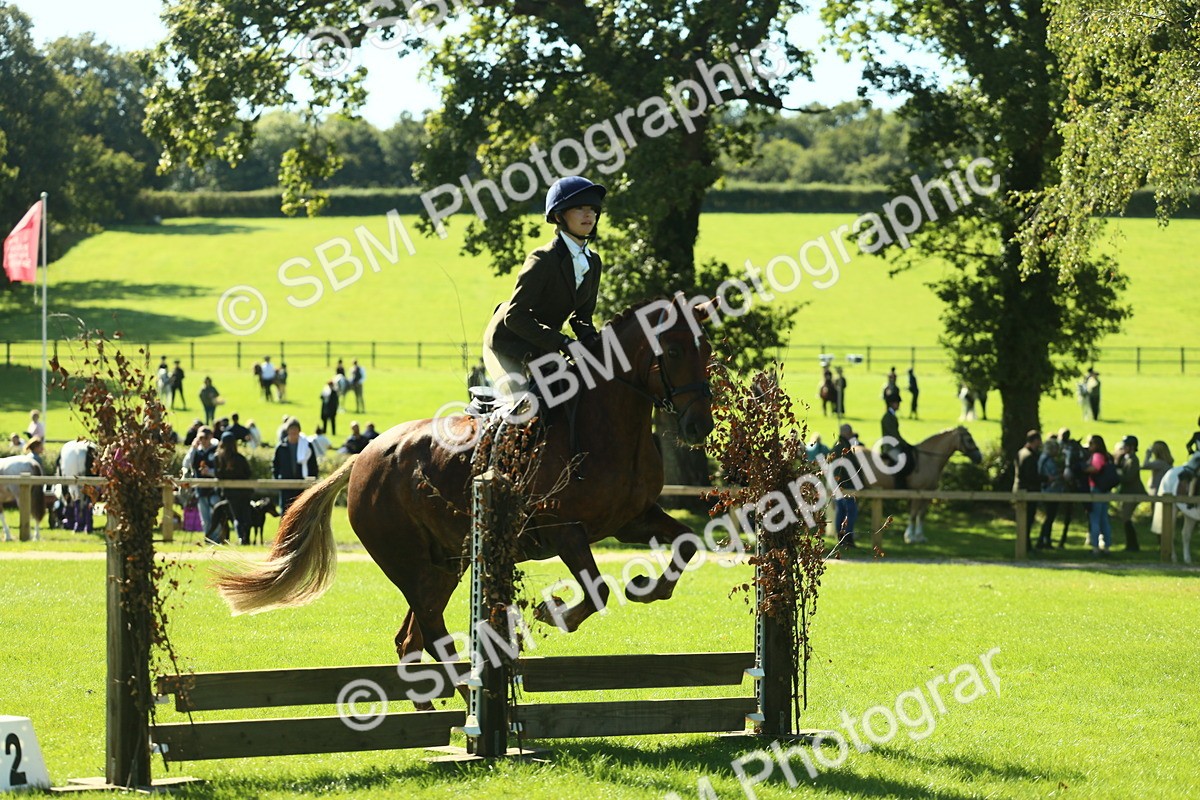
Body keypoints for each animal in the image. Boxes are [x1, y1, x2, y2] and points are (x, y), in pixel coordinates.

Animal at [217, 298, 717, 674]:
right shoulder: (562, 529)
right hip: (409, 563)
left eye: (708, 349)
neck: (609, 424)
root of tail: (362, 457)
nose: (699, 426)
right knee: (431, 630)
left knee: (411, 637)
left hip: (446, 563)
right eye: (674, 352)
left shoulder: (632, 518)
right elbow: (596, 590)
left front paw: (646, 587)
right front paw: (553, 612)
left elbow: (686, 543)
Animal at [851, 427, 983, 543]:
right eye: (969, 440)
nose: (980, 457)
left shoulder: (928, 493)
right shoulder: (917, 492)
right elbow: (914, 514)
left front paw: (920, 537)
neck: (928, 459)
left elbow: (921, 515)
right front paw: (910, 536)